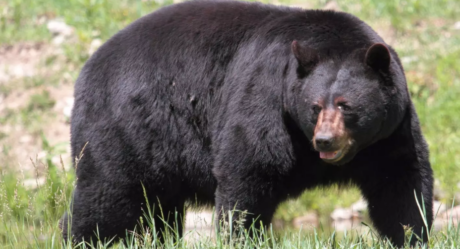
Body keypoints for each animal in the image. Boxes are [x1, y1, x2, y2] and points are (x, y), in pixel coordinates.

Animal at [61, 0, 432, 247]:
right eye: (314, 107)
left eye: (346, 105)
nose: (325, 140)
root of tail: (88, 67)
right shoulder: (265, 98)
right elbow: (248, 171)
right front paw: (241, 236)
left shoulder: (390, 132)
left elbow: (401, 183)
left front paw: (411, 234)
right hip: (126, 126)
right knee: (106, 196)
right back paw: (77, 236)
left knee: (158, 209)